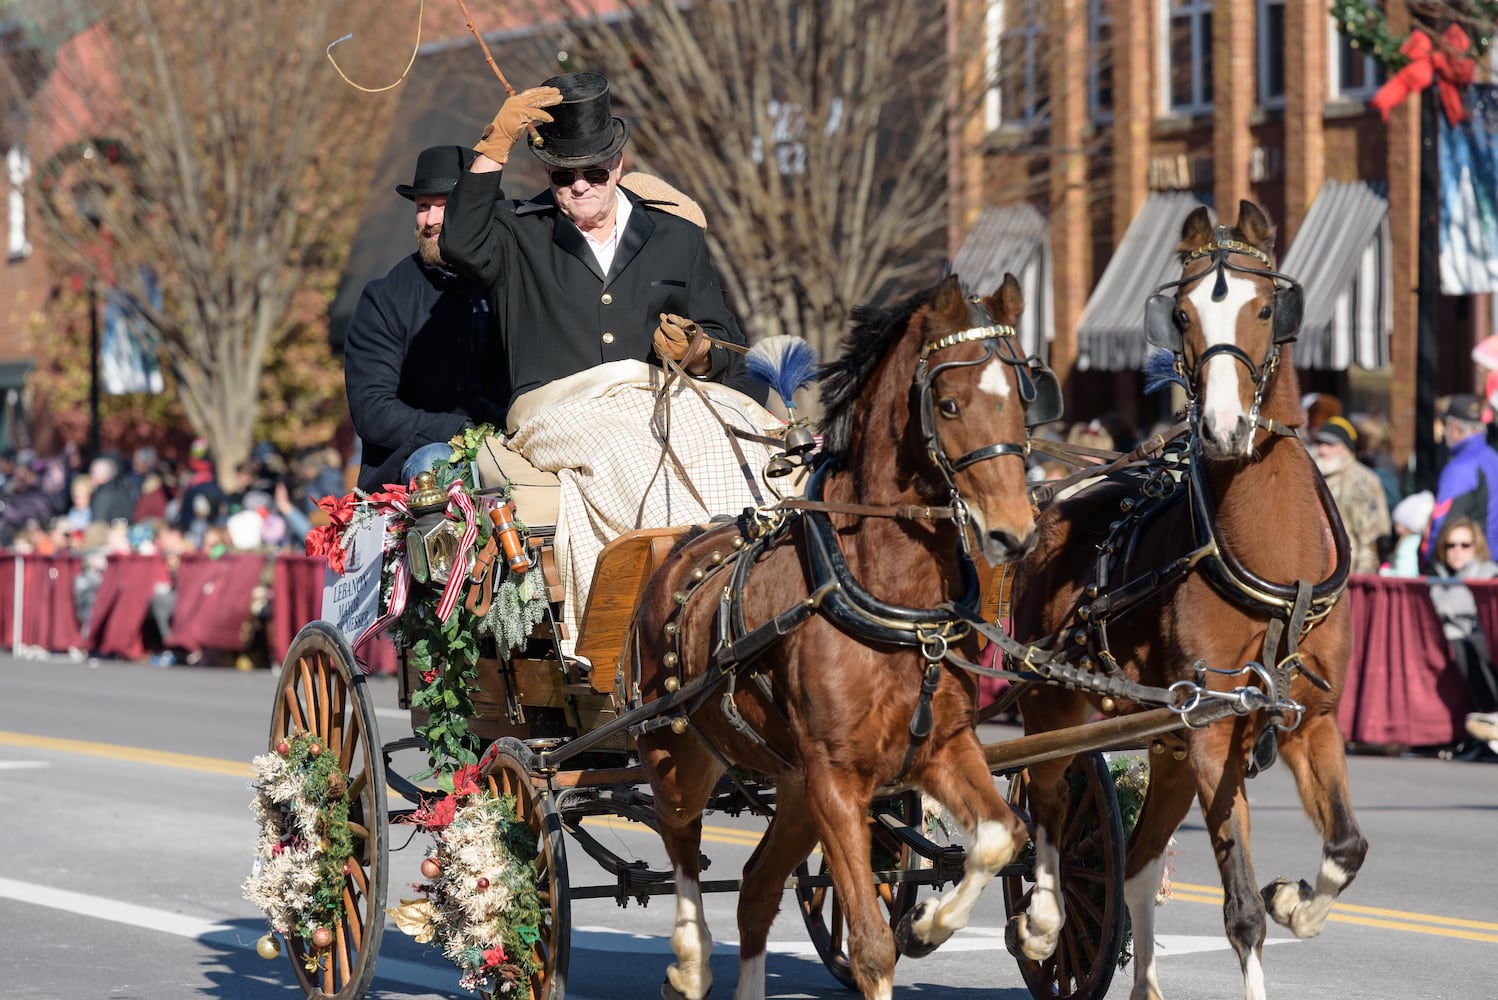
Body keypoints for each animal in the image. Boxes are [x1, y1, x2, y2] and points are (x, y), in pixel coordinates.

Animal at [632, 273, 1054, 999]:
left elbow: (1004, 835)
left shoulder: (941, 747)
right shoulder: (835, 776)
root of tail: (679, 545)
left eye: (1024, 399)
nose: (1014, 531)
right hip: (677, 753)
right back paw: (688, 961)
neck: (890, 597)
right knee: (680, 835)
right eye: (948, 403)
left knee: (755, 890)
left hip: (791, 784)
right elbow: (870, 945)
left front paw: (933, 924)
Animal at [1006, 200, 1372, 999]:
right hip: (1054, 697)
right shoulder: (1213, 728)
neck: (1270, 554)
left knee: (1139, 866)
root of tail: (1055, 495)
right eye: (1180, 314)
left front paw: (1296, 899)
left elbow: (1346, 848)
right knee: (1046, 800)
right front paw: (1272, 907)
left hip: (1168, 740)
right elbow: (1241, 914)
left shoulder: (1309, 719)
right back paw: (1043, 918)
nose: (1224, 428)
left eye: (1265, 308)